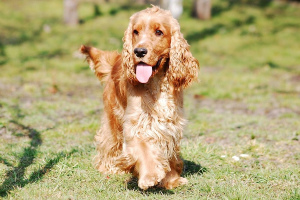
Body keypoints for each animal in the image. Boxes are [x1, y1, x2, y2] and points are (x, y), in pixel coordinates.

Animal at [80, 5, 199, 190]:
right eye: (135, 31)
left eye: (159, 32)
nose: (139, 51)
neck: (156, 83)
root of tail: (116, 60)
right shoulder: (136, 123)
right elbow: (144, 148)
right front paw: (150, 176)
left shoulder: (170, 124)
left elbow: (168, 150)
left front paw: (172, 179)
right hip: (113, 116)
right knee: (109, 141)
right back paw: (110, 167)